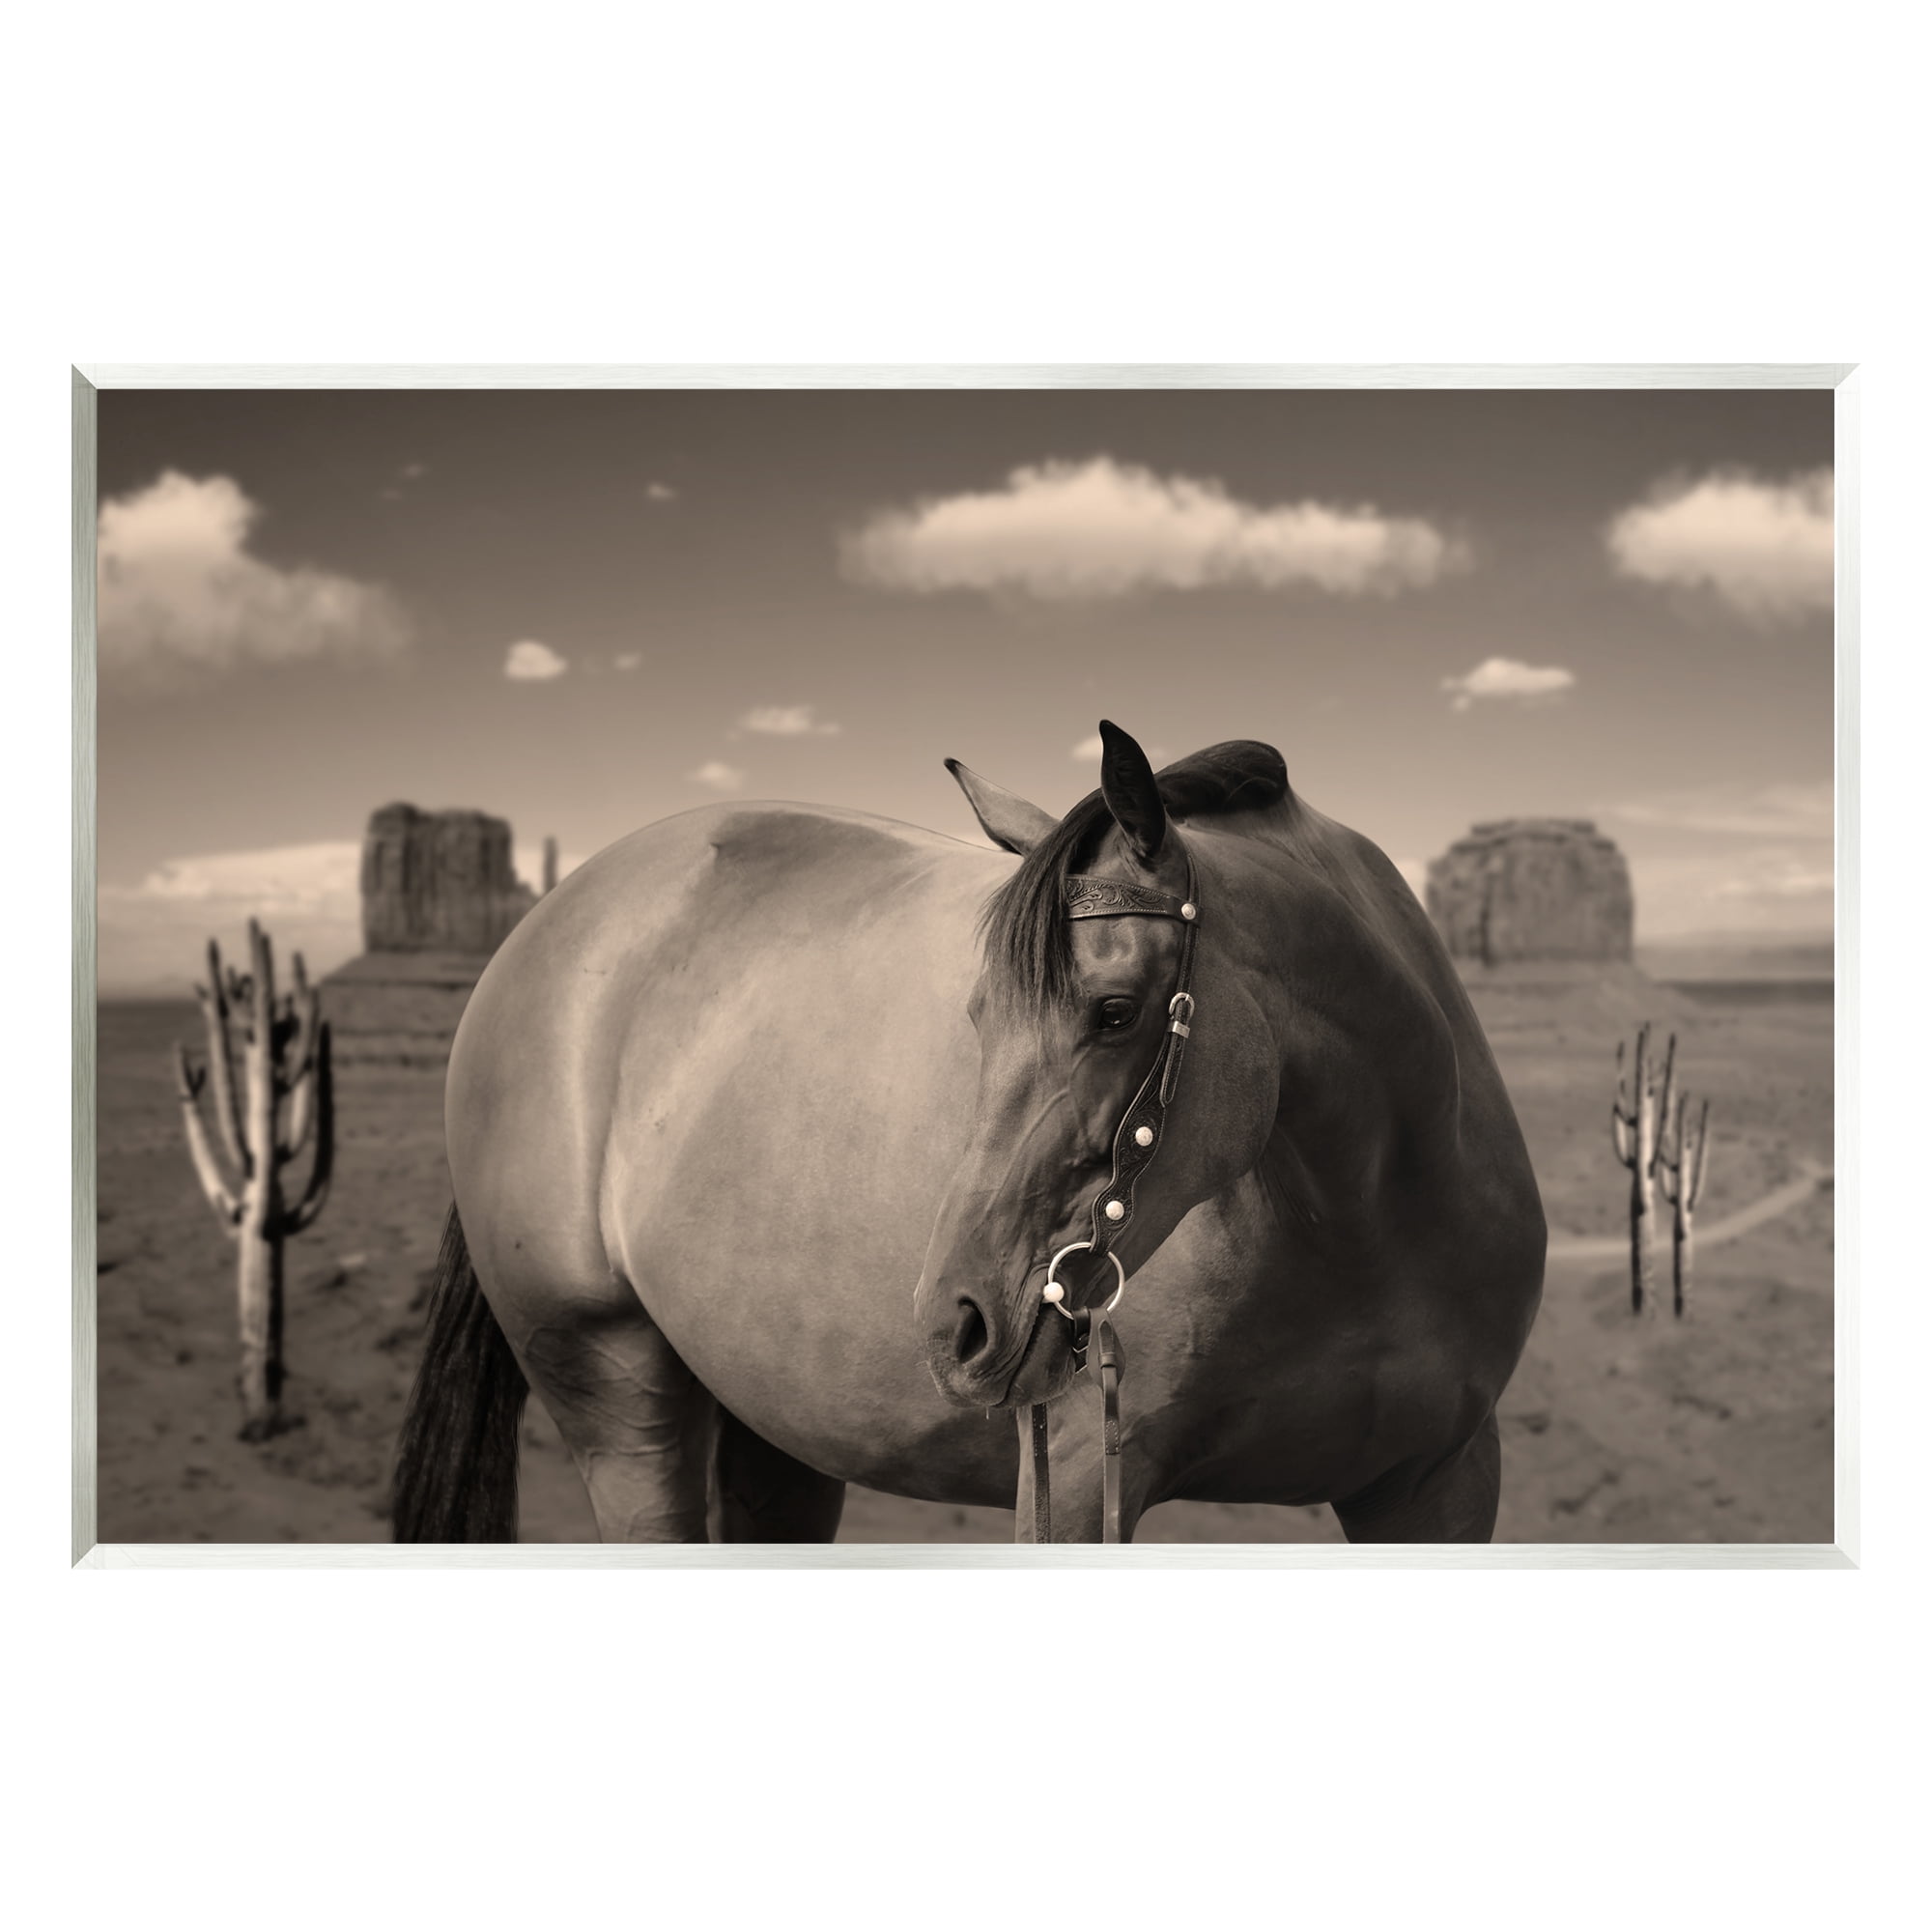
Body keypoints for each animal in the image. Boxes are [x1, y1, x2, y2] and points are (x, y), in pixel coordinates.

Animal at [393, 721, 1546, 1544]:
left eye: (1115, 1011)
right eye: (979, 1015)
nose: (957, 1322)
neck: (1366, 1219)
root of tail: (543, 928)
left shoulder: (1441, 1484)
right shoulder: (1075, 1487)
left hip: (776, 1426)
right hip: (609, 1377)